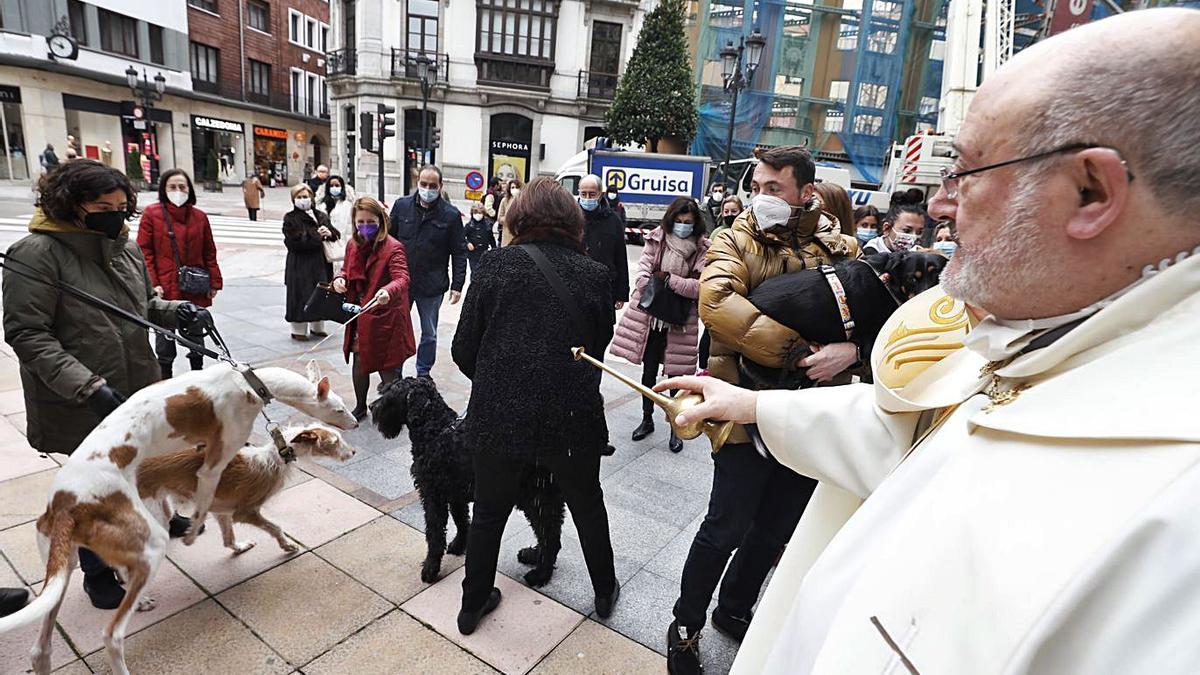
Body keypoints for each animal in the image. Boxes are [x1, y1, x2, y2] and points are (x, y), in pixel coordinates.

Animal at [138, 422, 355, 554]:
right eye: (335, 441)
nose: (353, 451)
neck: (277, 456)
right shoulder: (245, 512)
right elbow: (275, 527)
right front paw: (287, 545)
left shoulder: (221, 511)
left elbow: (228, 539)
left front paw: (240, 547)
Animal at [369, 374, 566, 586]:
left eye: (392, 393)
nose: (371, 407)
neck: (436, 430)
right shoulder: (455, 494)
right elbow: (461, 520)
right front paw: (459, 545)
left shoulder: (432, 495)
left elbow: (434, 533)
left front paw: (430, 567)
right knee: (547, 532)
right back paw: (534, 555)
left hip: (537, 498)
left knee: (550, 536)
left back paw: (540, 574)